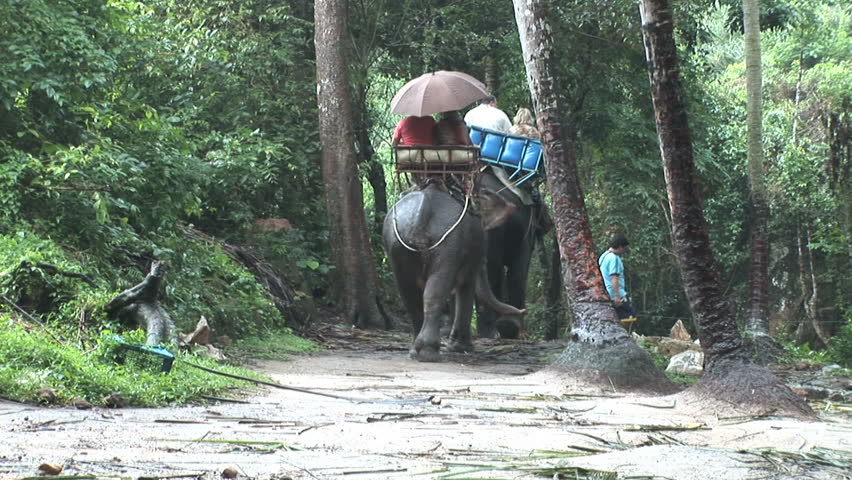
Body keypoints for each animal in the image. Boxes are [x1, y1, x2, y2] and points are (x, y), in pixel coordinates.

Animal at [383, 180, 525, 362]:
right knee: (434, 293)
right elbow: (467, 286)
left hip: (396, 245)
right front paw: (462, 348)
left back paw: (414, 351)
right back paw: (429, 352)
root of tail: (421, 212)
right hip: (447, 244)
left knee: (408, 294)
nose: (522, 311)